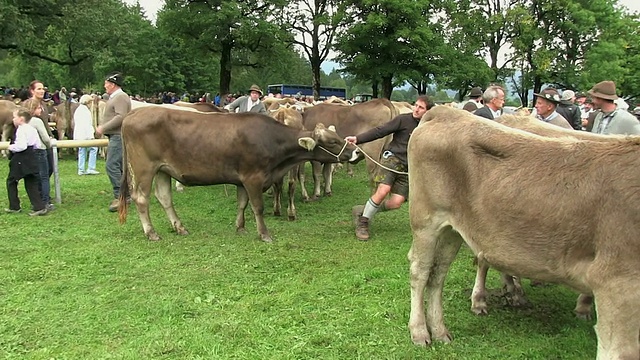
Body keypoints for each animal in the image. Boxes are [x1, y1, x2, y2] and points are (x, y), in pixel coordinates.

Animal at [117, 107, 360, 242]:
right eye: (332, 141)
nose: (356, 151)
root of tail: (134, 113)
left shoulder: (242, 180)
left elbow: (242, 204)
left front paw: (240, 227)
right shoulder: (253, 178)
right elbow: (257, 207)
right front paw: (264, 234)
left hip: (163, 169)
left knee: (164, 197)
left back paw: (180, 227)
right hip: (144, 168)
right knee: (141, 198)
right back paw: (151, 233)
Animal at [408, 107, 640, 360]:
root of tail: (446, 111)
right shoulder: (617, 283)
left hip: (453, 231)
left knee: (438, 274)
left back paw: (441, 330)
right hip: (425, 223)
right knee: (420, 272)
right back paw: (421, 331)